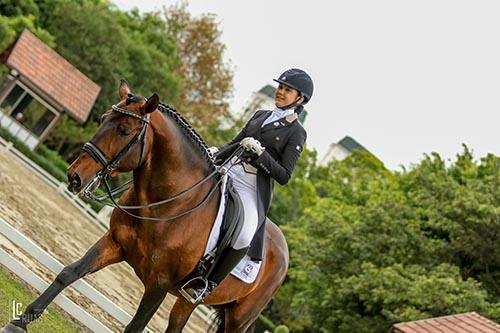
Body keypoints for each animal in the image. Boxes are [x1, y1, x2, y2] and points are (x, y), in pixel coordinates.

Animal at [0, 81, 290, 332]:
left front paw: (252, 146)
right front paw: (19, 323)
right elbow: (69, 273)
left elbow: (136, 326)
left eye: (124, 131)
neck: (166, 206)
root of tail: (282, 249)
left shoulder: (159, 284)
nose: (75, 176)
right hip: (187, 300)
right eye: (102, 119)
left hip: (238, 316)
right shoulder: (114, 242)